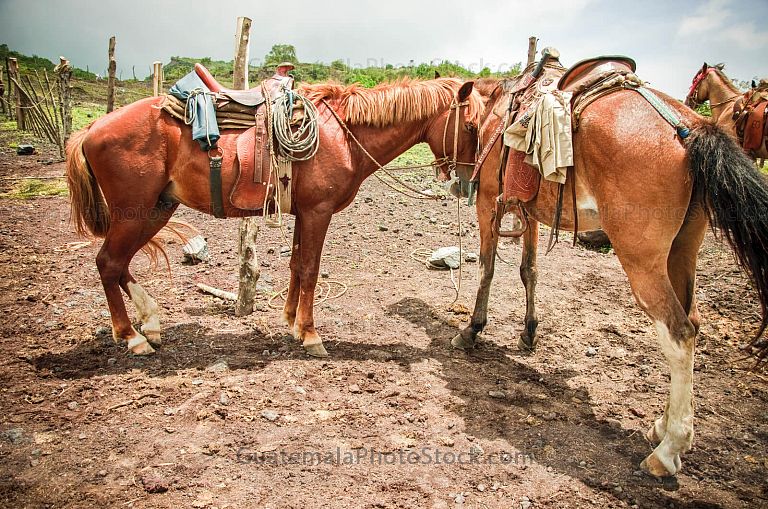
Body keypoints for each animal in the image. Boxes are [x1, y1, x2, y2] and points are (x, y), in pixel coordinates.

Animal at [65, 78, 483, 358]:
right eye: (472, 126)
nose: (469, 183)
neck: (345, 135)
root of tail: (92, 127)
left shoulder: (305, 213)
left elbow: (297, 265)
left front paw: (290, 321)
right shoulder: (318, 212)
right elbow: (311, 269)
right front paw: (311, 335)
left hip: (155, 210)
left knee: (118, 265)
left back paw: (150, 322)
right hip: (133, 212)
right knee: (108, 263)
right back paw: (131, 336)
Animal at [442, 72, 768, 478]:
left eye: (454, 121)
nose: (459, 179)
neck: (499, 116)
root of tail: (690, 127)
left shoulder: (490, 203)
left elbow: (486, 268)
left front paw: (471, 329)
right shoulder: (529, 211)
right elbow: (529, 270)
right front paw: (529, 333)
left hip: (642, 262)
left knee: (679, 334)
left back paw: (668, 449)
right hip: (682, 251)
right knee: (692, 320)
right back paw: (661, 426)